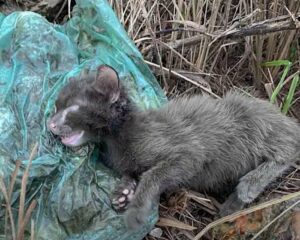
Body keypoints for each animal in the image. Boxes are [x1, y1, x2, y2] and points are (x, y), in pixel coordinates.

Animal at [47, 64, 300, 230]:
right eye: (57, 105)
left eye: (72, 108)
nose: (50, 123)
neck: (115, 142)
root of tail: (284, 116)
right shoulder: (129, 165)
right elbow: (133, 174)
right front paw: (124, 193)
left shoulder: (189, 154)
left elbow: (152, 175)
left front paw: (136, 212)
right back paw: (232, 204)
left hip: (254, 123)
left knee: (289, 148)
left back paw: (248, 186)